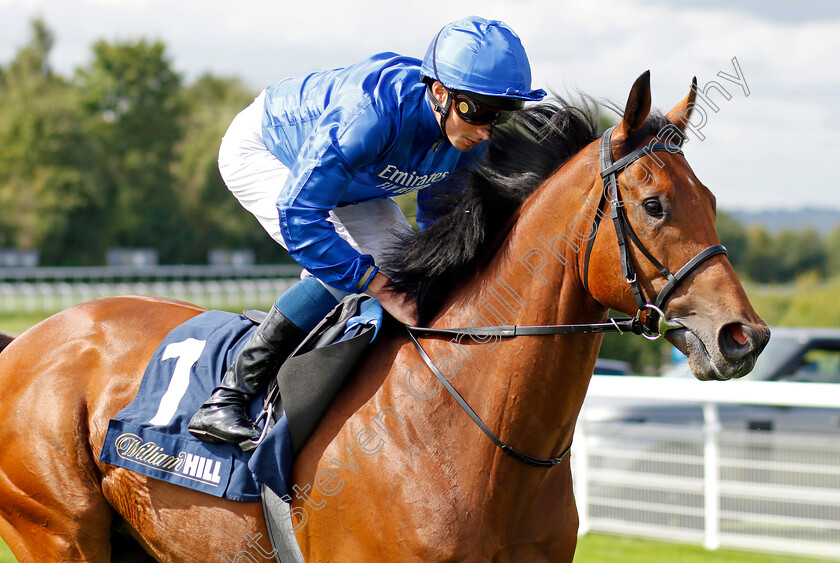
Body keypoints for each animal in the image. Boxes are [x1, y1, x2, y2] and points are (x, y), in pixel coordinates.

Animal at [0, 72, 768, 560]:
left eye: (712, 199)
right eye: (654, 205)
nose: (744, 336)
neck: (470, 428)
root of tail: (29, 338)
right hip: (58, 531)